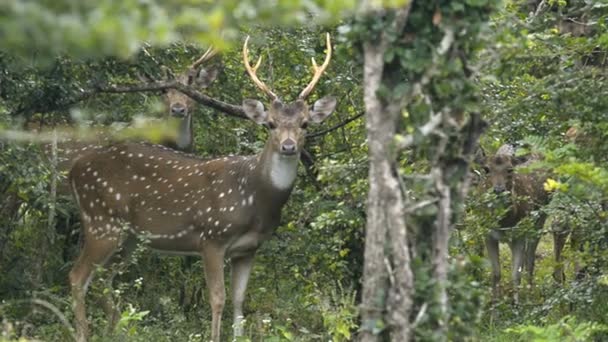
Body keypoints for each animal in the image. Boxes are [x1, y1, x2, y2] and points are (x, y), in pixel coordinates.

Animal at [69, 34, 340, 342]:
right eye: (270, 124)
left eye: (304, 123)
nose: (288, 146)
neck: (255, 199)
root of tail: (73, 171)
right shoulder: (211, 237)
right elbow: (218, 298)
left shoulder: (248, 249)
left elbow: (239, 301)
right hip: (101, 221)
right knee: (77, 277)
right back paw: (83, 333)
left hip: (129, 237)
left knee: (104, 280)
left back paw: (119, 332)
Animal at [482, 144, 548, 302]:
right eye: (486, 169)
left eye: (510, 169)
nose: (498, 190)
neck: (504, 222)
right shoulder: (487, 234)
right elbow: (496, 273)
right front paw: (495, 304)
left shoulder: (520, 233)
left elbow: (515, 275)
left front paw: (517, 306)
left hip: (540, 217)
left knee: (529, 260)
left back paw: (530, 294)